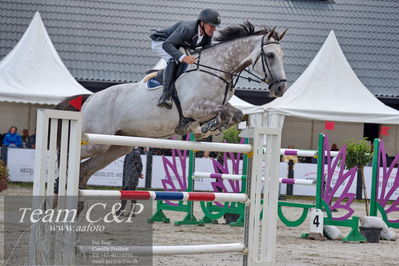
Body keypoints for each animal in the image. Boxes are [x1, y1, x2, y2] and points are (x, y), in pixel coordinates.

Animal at [56, 22, 288, 187]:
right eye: (270, 55)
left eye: (282, 55)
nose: (281, 89)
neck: (217, 70)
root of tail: (90, 98)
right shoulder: (194, 107)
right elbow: (221, 112)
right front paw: (205, 127)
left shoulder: (217, 106)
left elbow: (235, 113)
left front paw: (207, 128)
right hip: (95, 141)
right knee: (68, 155)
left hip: (117, 146)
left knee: (84, 171)